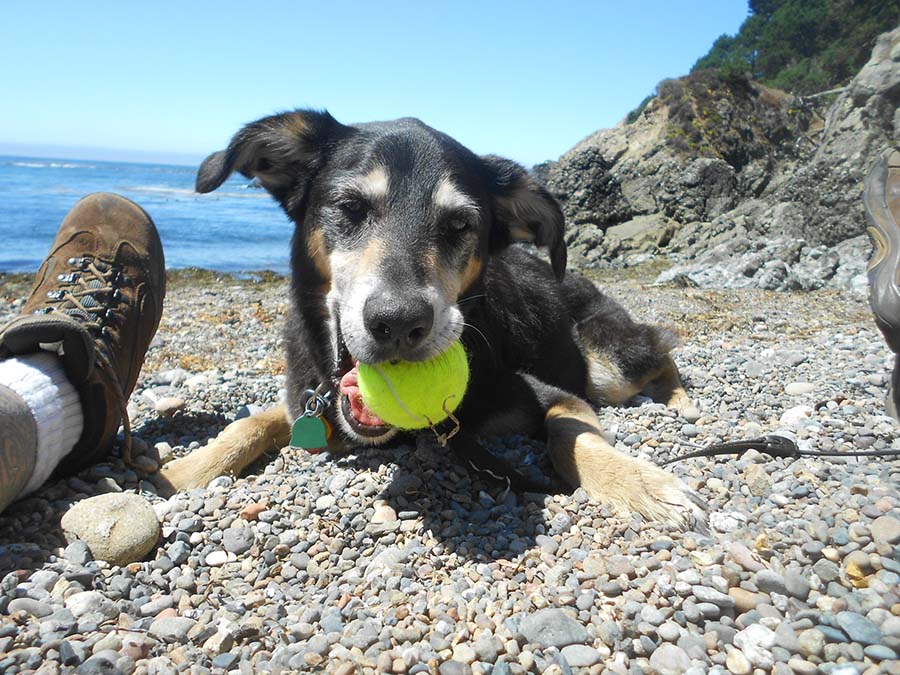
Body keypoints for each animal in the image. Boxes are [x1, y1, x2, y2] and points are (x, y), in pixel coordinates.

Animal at [156, 110, 705, 528]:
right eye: (349, 206)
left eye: (460, 224)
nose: (398, 323)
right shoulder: (304, 398)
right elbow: (251, 423)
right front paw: (181, 472)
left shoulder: (555, 396)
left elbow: (571, 436)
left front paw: (643, 484)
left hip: (606, 366)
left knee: (661, 349)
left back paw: (680, 401)